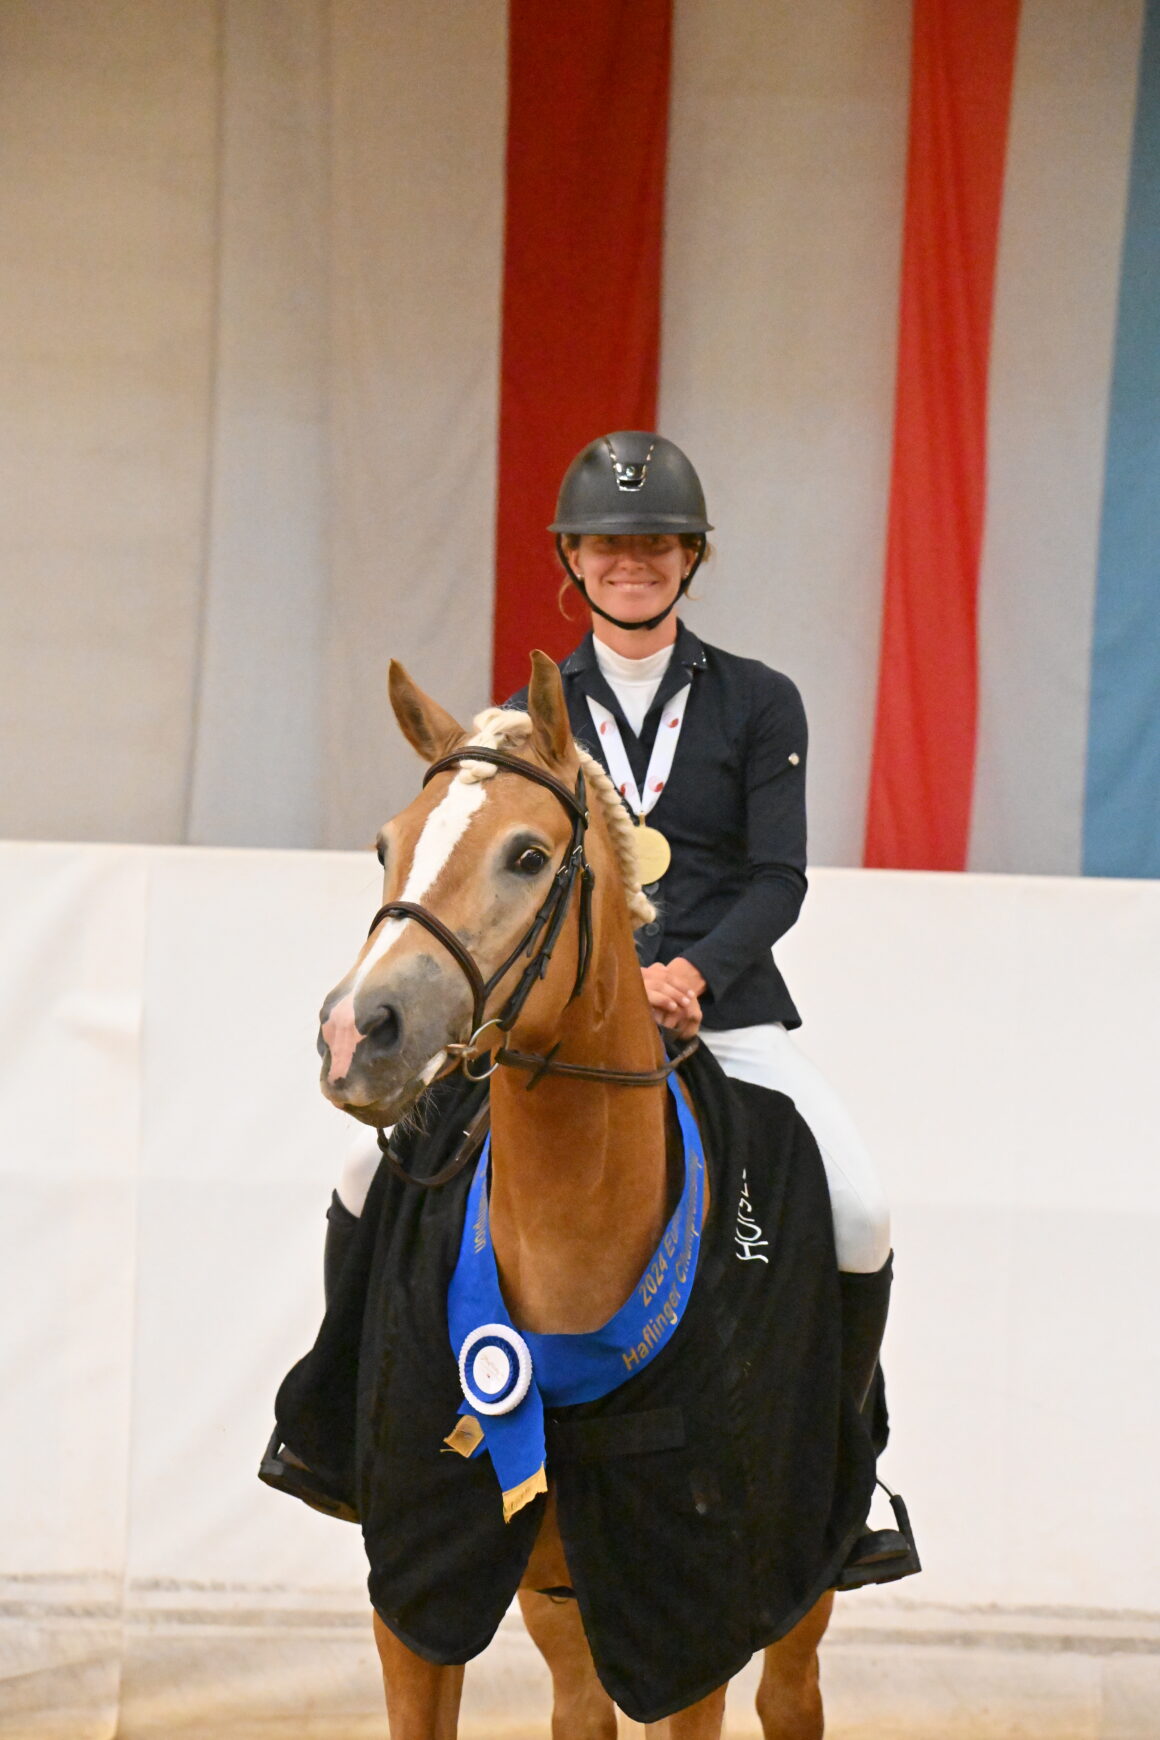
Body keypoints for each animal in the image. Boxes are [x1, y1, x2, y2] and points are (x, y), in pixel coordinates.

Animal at [318, 654, 834, 1740]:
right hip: (557, 1594)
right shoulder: (418, 1590)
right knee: (580, 1706)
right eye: (386, 844)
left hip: (800, 1590)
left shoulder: (697, 1625)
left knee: (790, 1697)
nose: (355, 1033)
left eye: (526, 856)